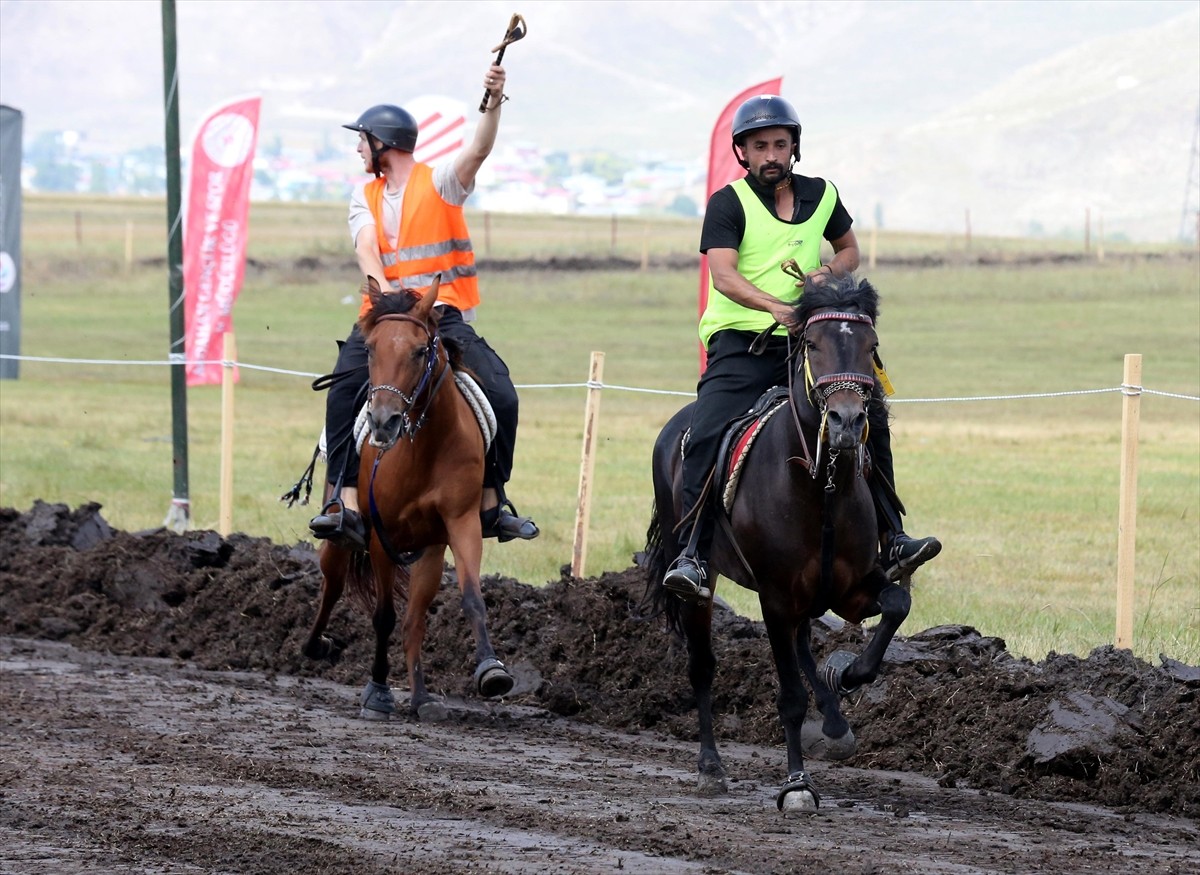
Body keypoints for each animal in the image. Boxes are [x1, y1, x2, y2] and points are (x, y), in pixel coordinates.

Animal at [302, 276, 513, 720]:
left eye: (419, 351)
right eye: (369, 349)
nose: (384, 422)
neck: (423, 448)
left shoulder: (460, 524)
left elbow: (472, 598)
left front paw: (491, 670)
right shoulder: (382, 536)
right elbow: (383, 615)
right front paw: (378, 692)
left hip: (429, 550)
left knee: (415, 619)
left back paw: (420, 697)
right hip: (341, 539)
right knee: (332, 584)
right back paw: (316, 645)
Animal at [648, 274, 907, 811]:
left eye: (870, 346)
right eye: (813, 344)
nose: (848, 421)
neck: (820, 486)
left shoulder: (853, 589)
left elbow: (897, 604)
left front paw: (845, 675)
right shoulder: (774, 597)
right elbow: (788, 695)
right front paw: (797, 785)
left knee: (806, 643)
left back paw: (835, 721)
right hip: (702, 586)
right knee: (701, 666)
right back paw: (710, 767)